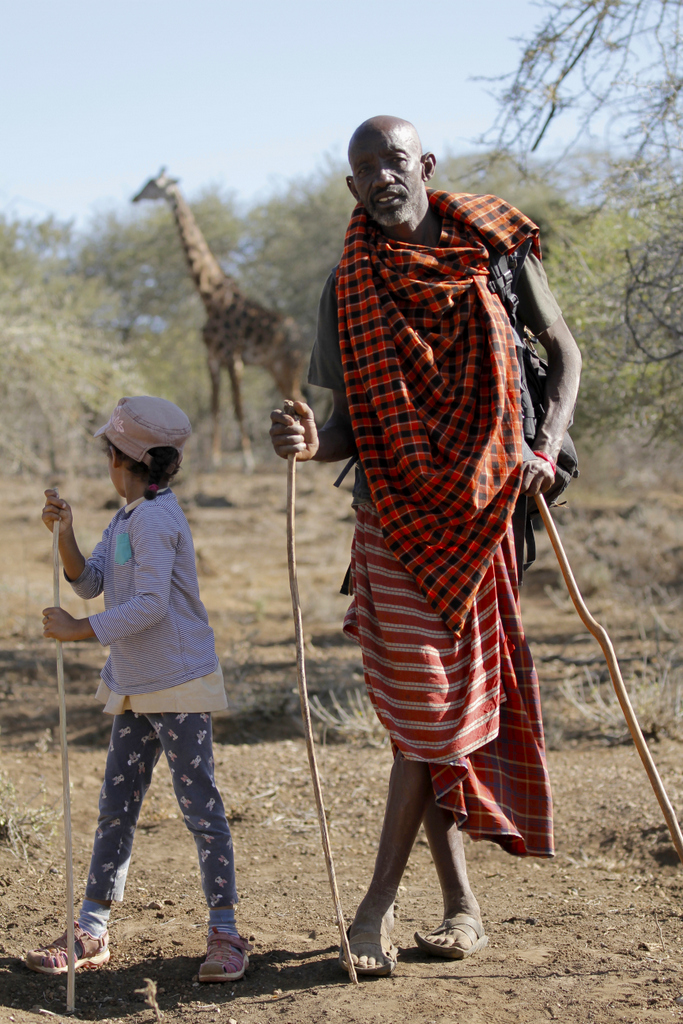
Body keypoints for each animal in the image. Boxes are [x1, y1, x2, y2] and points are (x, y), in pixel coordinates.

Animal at [133, 169, 305, 468]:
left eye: (153, 184)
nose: (135, 197)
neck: (210, 296)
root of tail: (302, 337)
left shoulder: (233, 357)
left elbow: (238, 406)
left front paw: (247, 459)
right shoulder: (212, 357)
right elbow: (215, 406)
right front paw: (213, 459)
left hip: (287, 367)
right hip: (277, 369)